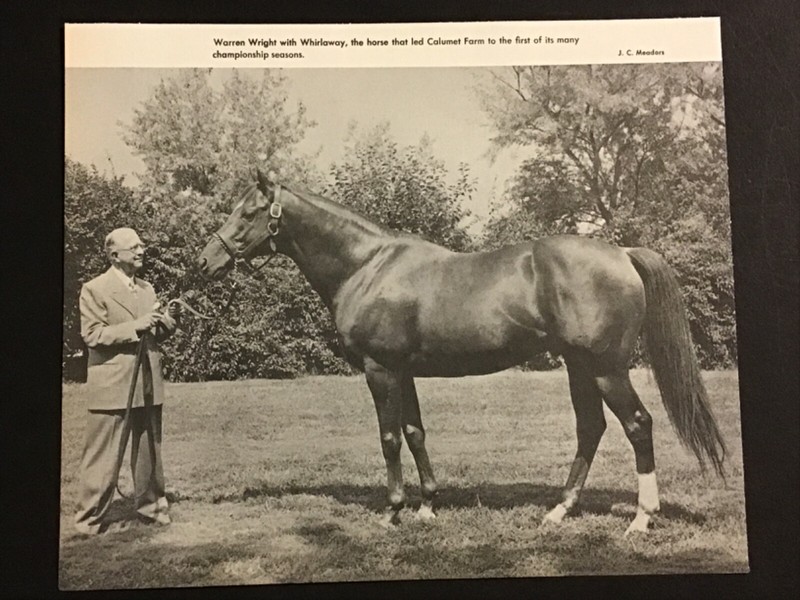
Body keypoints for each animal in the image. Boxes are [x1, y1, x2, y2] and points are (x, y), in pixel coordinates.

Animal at [197, 169, 725, 535]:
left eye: (248, 212)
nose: (205, 260)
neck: (367, 266)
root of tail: (622, 253)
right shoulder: (404, 372)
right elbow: (415, 433)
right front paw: (428, 505)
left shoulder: (379, 370)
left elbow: (389, 438)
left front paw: (393, 512)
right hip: (580, 368)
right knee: (590, 429)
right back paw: (559, 511)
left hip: (606, 369)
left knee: (638, 425)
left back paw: (641, 518)